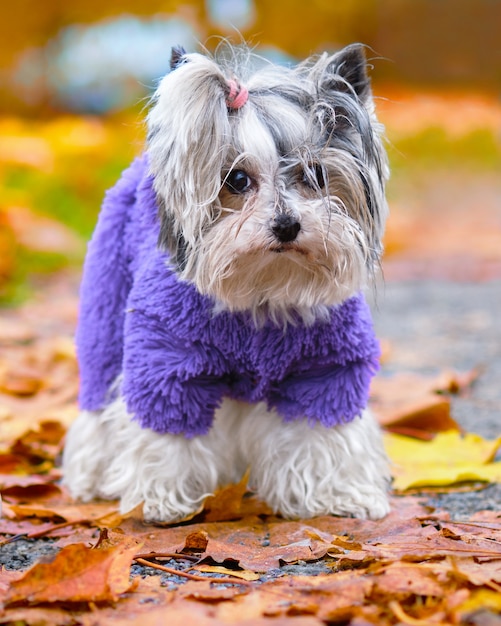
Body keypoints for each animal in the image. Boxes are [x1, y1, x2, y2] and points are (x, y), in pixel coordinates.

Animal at [61, 42, 390, 520]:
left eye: (315, 175)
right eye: (236, 179)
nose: (287, 225)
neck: (261, 294)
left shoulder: (325, 369)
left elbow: (320, 434)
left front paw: (334, 496)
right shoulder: (167, 360)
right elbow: (167, 432)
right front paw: (163, 499)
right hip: (105, 306)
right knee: (99, 388)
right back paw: (91, 476)